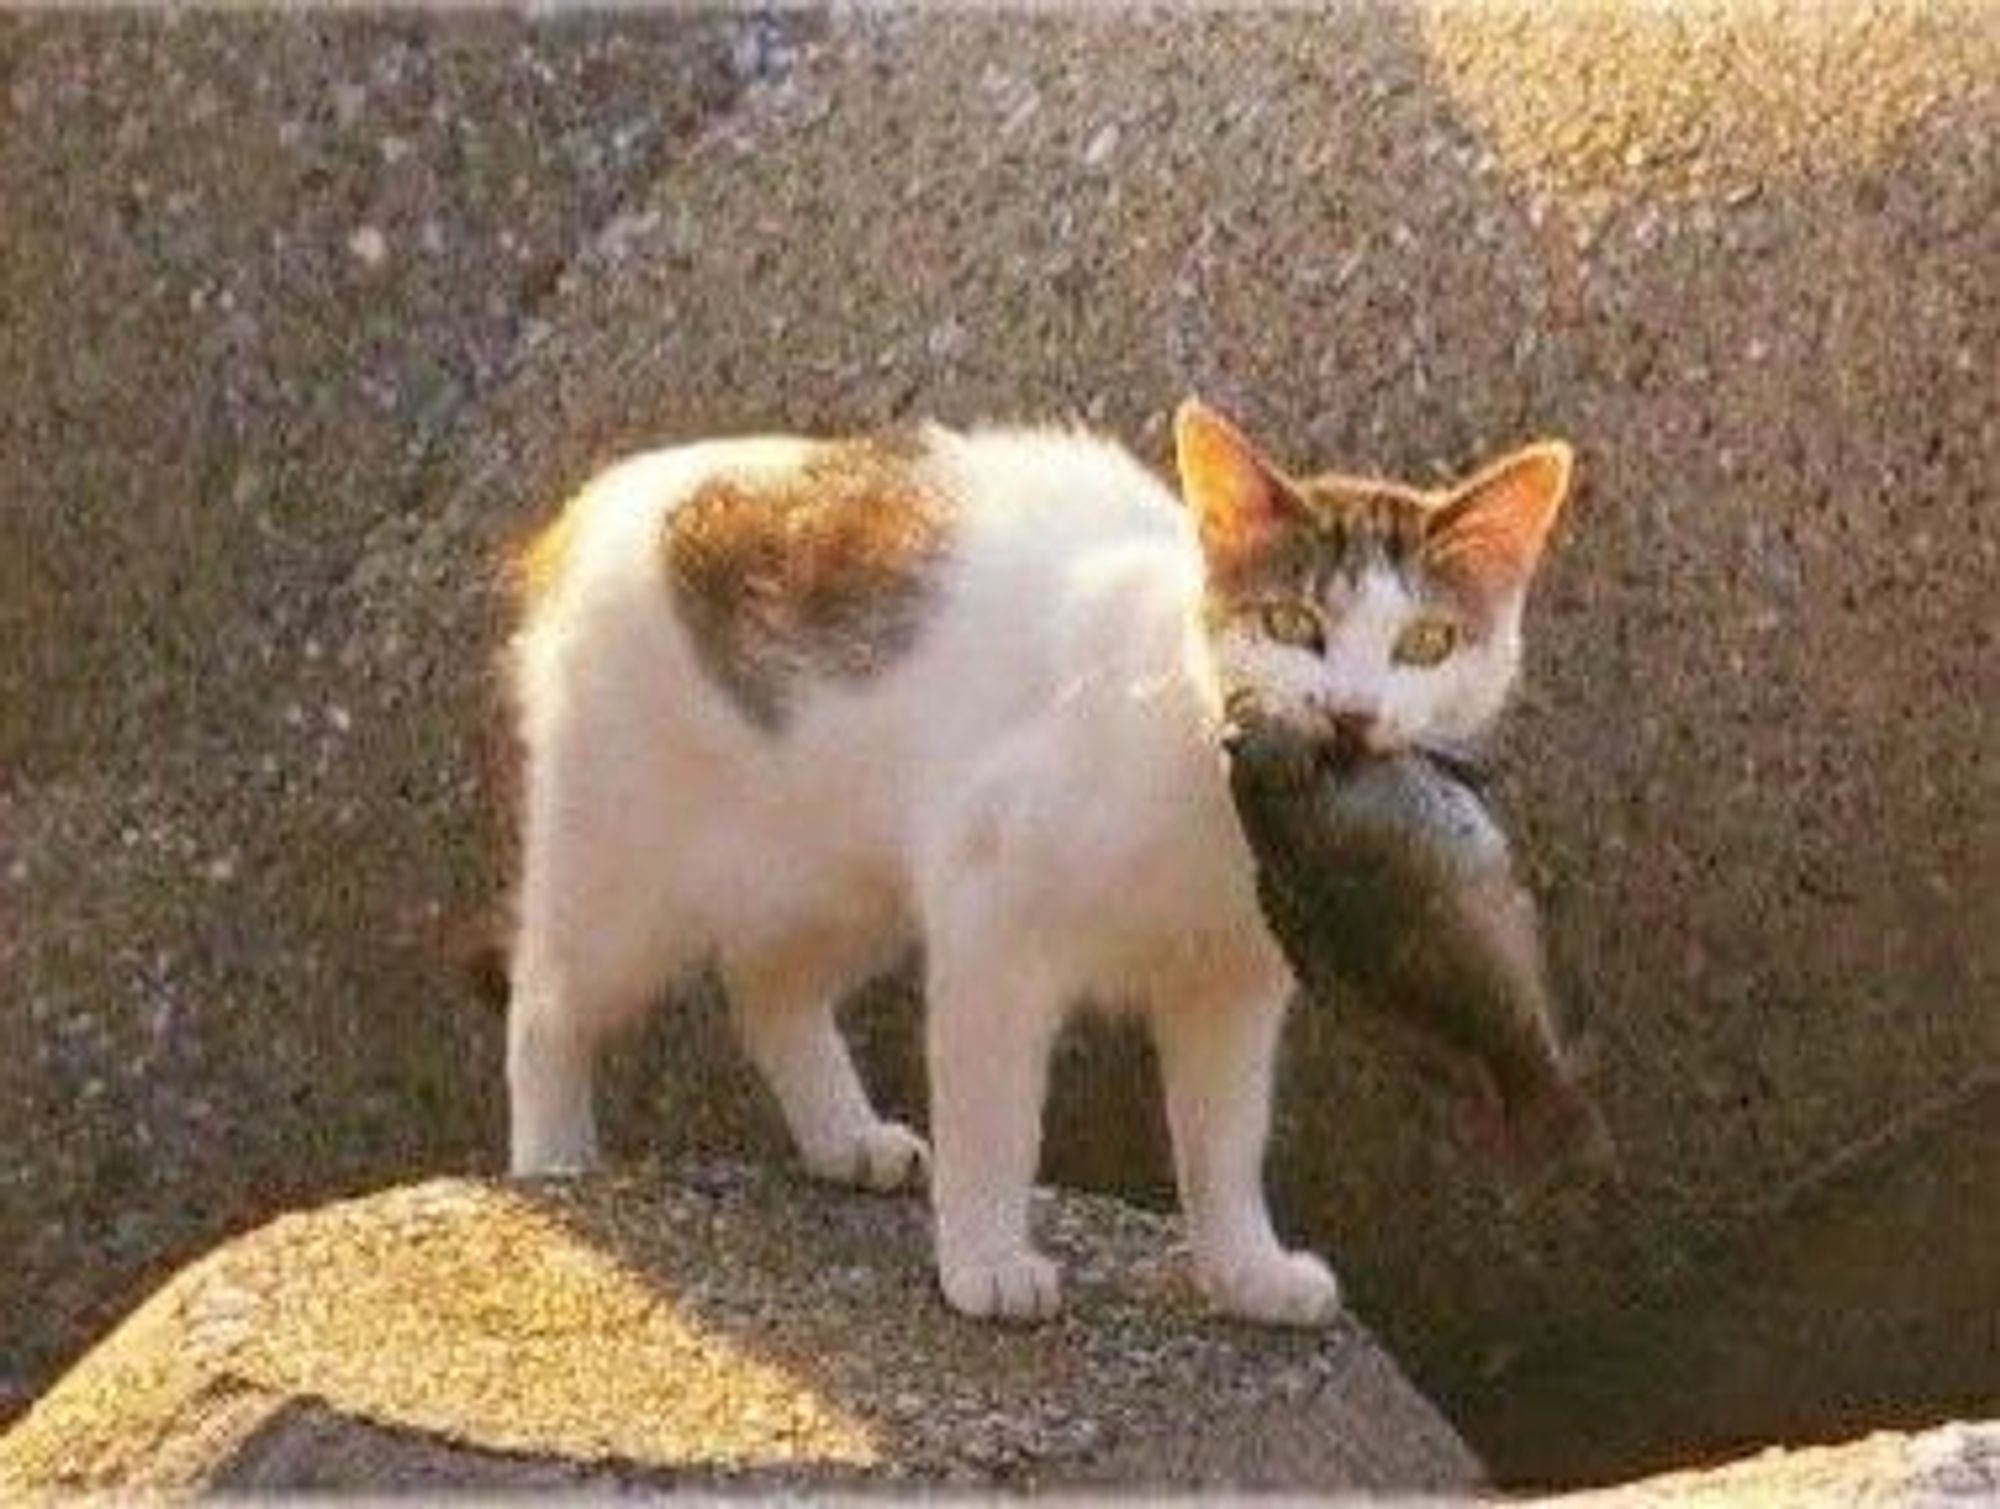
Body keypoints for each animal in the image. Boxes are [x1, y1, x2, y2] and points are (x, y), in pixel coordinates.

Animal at [508, 396, 1568, 1312]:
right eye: (1291, 625)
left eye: (1427, 642)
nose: (1352, 713)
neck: (1209, 782)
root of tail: (613, 495)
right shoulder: (990, 914)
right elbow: (996, 1115)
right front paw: (985, 1261)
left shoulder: (1230, 982)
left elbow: (1224, 1135)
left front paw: (1245, 1272)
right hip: (622, 867)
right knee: (547, 1002)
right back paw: (554, 1161)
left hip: (841, 876)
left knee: (768, 987)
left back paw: (846, 1135)